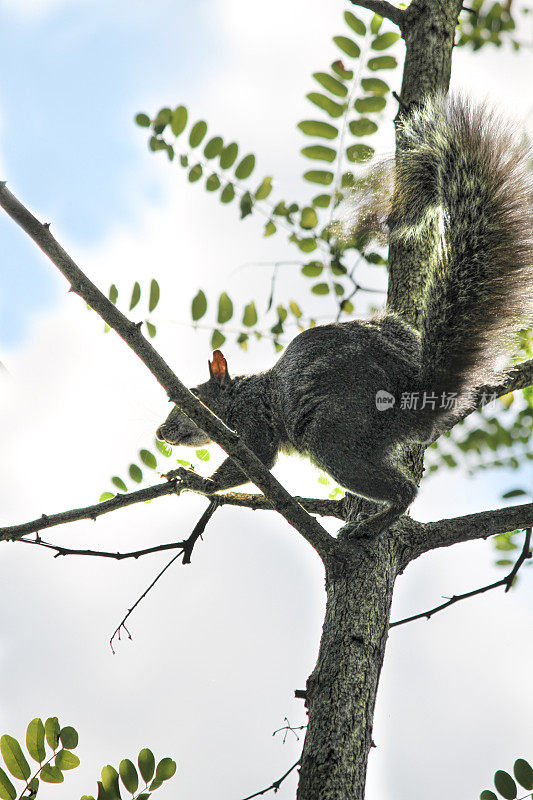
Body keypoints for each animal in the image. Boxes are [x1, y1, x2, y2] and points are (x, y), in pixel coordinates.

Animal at [157, 97, 532, 536]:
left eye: (191, 398)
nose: (160, 432)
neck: (245, 392)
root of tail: (417, 395)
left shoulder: (253, 426)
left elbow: (253, 463)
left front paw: (195, 480)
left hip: (336, 437)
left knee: (402, 490)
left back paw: (370, 525)